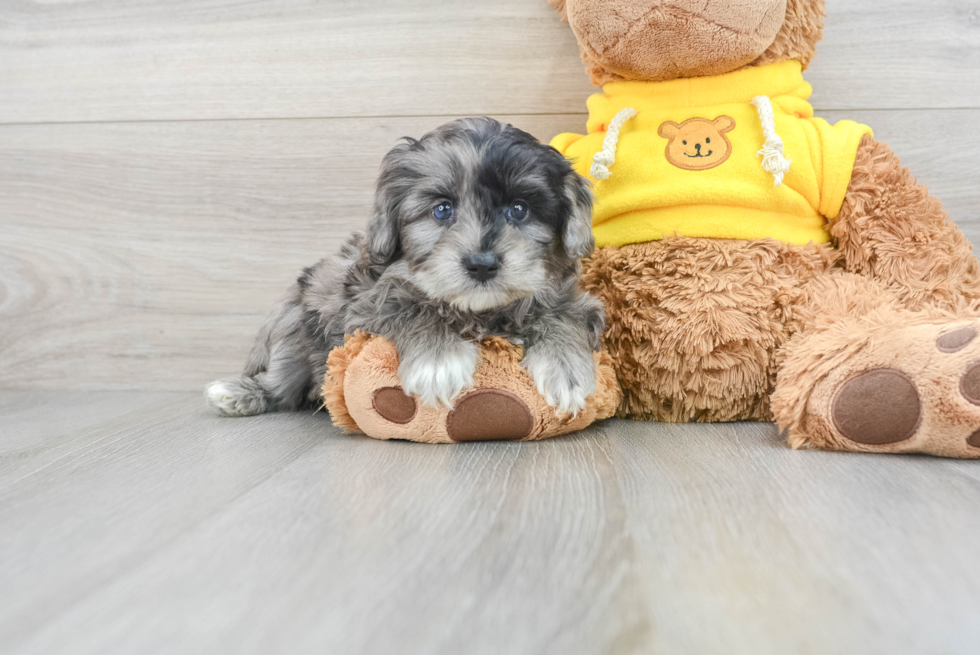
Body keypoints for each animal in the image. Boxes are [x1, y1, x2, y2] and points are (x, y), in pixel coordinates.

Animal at [207, 116, 604, 420]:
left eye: (519, 210)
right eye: (442, 210)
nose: (481, 264)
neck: (478, 312)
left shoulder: (579, 301)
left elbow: (563, 315)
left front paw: (565, 367)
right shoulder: (363, 307)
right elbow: (411, 305)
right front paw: (438, 360)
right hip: (294, 325)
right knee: (281, 382)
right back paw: (237, 392)